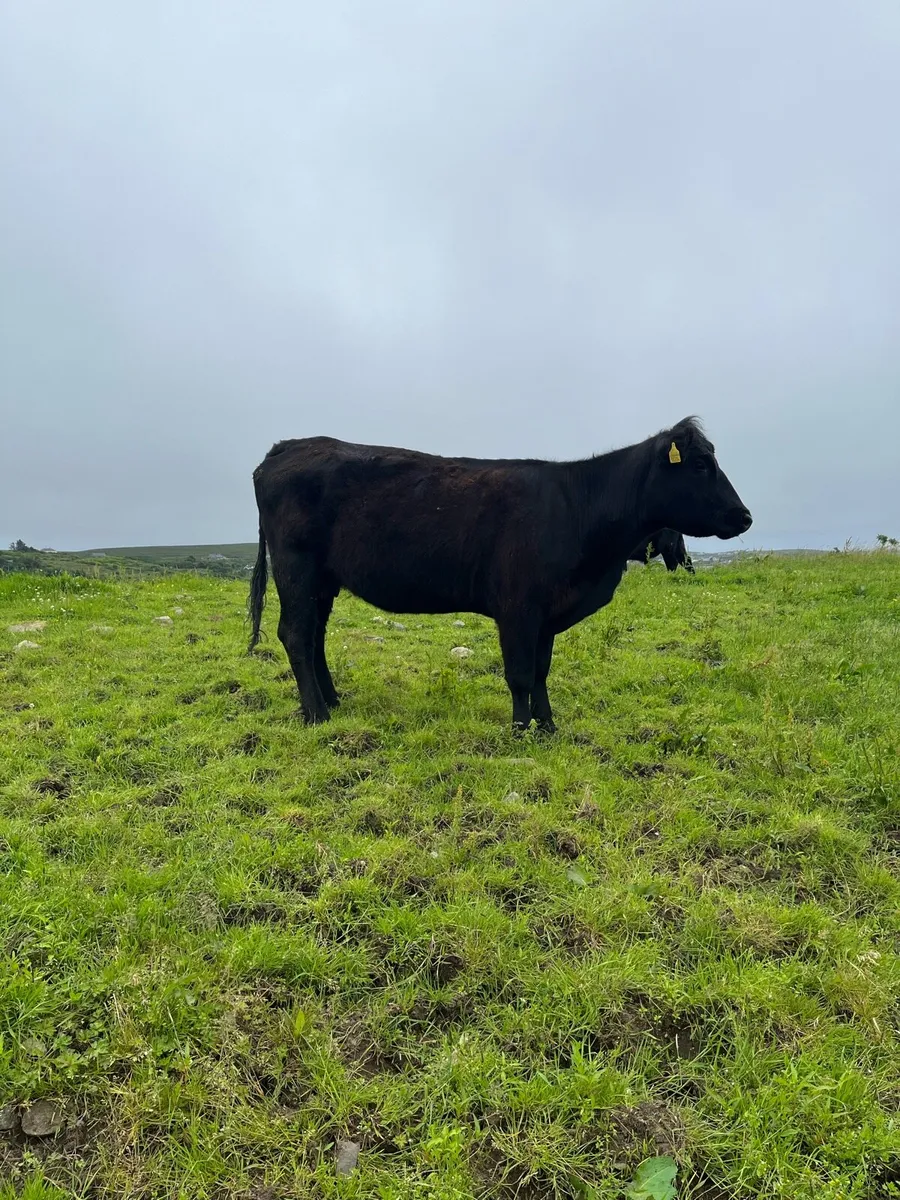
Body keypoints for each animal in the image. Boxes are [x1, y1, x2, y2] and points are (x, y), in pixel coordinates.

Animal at [248, 416, 751, 732]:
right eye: (700, 464)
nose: (744, 516)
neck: (577, 509)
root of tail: (287, 446)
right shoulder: (517, 609)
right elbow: (521, 674)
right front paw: (520, 728)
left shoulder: (548, 614)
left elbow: (543, 671)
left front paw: (547, 725)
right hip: (296, 567)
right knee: (296, 634)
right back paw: (317, 714)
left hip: (322, 580)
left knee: (314, 636)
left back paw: (332, 700)